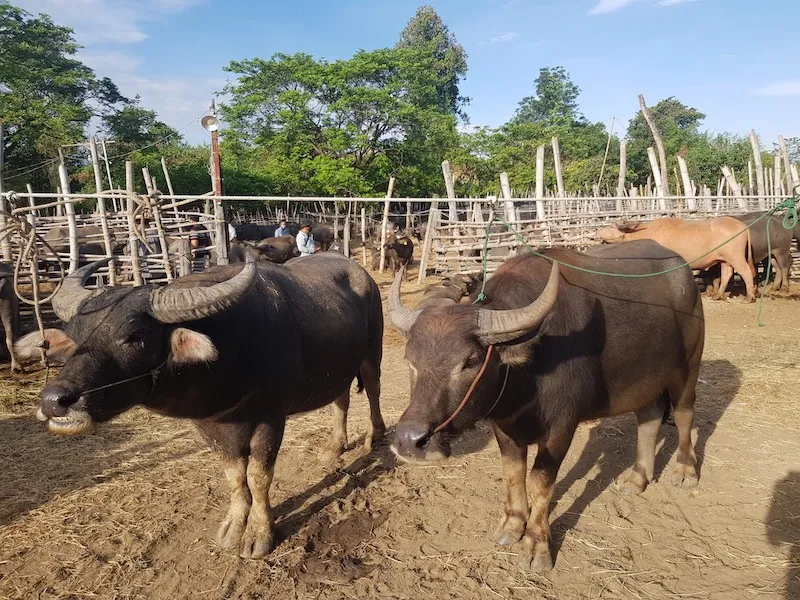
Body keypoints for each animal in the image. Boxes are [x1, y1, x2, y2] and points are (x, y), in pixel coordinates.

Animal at [14, 255, 384, 560]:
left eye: (134, 337)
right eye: (73, 337)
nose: (55, 400)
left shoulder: (271, 420)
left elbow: (259, 478)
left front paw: (258, 535)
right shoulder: (208, 426)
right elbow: (234, 476)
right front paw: (234, 525)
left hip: (371, 353)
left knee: (373, 391)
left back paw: (373, 437)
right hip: (337, 368)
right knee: (341, 400)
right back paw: (334, 448)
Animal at [388, 241, 708, 576]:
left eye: (470, 361)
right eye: (411, 360)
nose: (410, 440)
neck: (528, 372)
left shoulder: (560, 429)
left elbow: (540, 483)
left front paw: (536, 546)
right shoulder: (504, 425)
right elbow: (513, 474)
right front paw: (512, 525)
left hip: (687, 366)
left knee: (684, 414)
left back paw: (685, 471)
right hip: (644, 380)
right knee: (649, 416)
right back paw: (637, 479)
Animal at [592, 216, 756, 302]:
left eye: (611, 226)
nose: (597, 231)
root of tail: (742, 225)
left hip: (736, 257)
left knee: (746, 272)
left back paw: (749, 296)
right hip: (725, 260)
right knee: (727, 274)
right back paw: (718, 295)